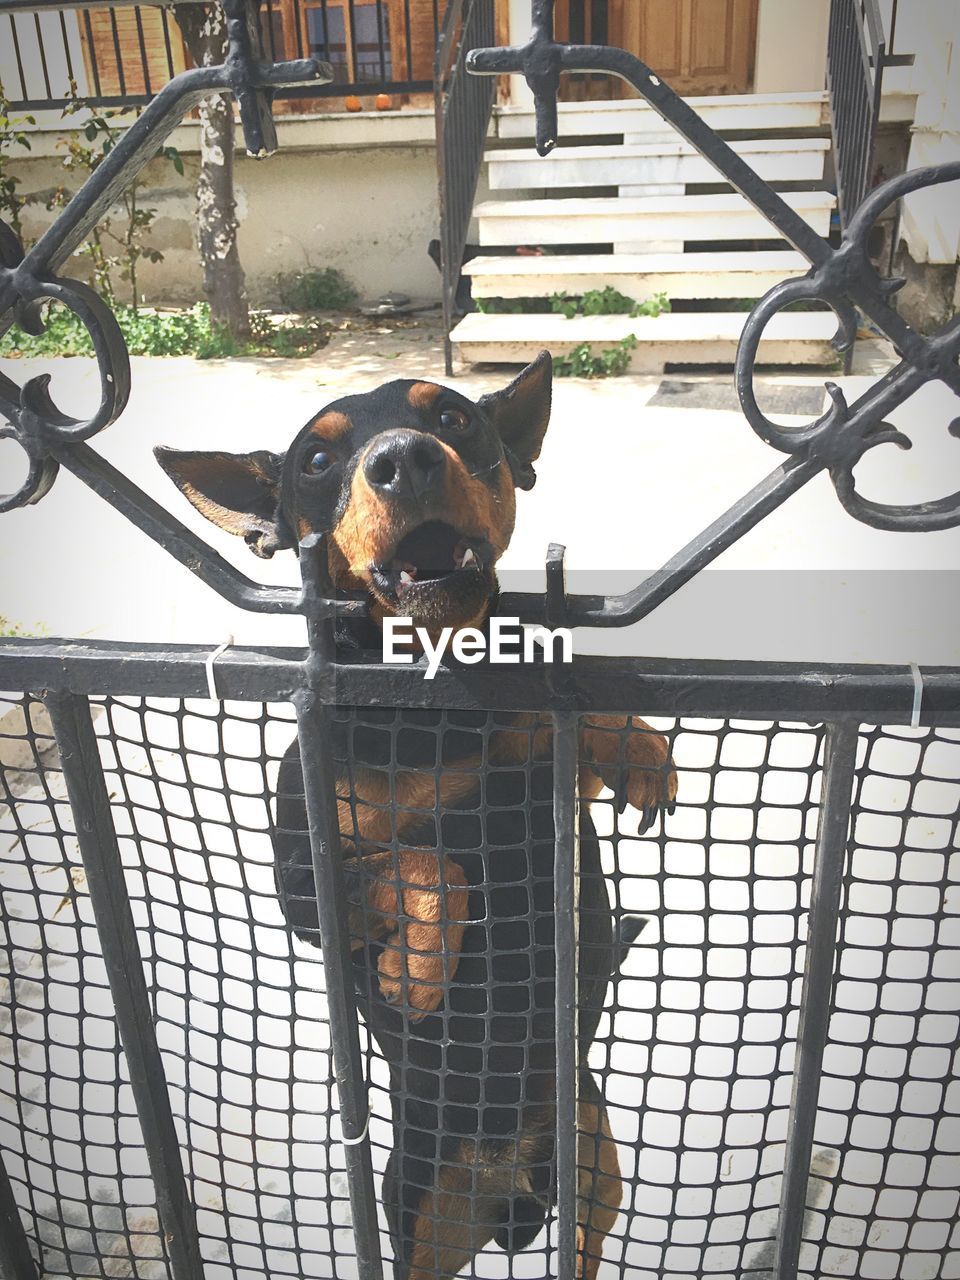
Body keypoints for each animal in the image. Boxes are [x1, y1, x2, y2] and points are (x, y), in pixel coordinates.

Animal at [158, 355, 680, 1280]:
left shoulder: (544, 756)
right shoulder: (304, 891)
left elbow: (562, 707)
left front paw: (640, 747)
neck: (435, 695)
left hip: (596, 1168)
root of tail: (512, 1193)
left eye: (456, 419)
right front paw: (418, 970)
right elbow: (434, 863)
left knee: (584, 1242)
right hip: (419, 1209)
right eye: (317, 462)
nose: (406, 458)